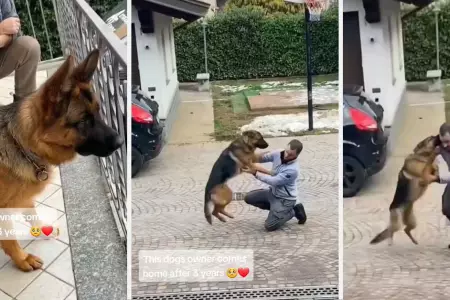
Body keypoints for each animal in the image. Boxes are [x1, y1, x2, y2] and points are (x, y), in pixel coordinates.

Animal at [0, 49, 123, 272]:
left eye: (98, 111)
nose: (121, 142)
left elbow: (31, 212)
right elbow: (10, 240)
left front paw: (40, 230)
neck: (20, 144)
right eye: (83, 121)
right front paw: (22, 259)